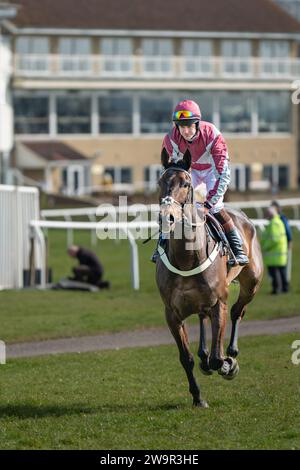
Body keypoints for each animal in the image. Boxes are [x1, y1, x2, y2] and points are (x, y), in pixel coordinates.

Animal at [156, 148, 264, 408]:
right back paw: (205, 356)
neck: (186, 258)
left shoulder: (219, 302)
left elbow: (218, 356)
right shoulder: (171, 314)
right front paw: (197, 397)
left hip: (251, 284)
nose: (167, 217)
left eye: (185, 183)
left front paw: (227, 365)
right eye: (160, 182)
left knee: (237, 312)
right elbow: (185, 358)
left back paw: (231, 354)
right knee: (202, 317)